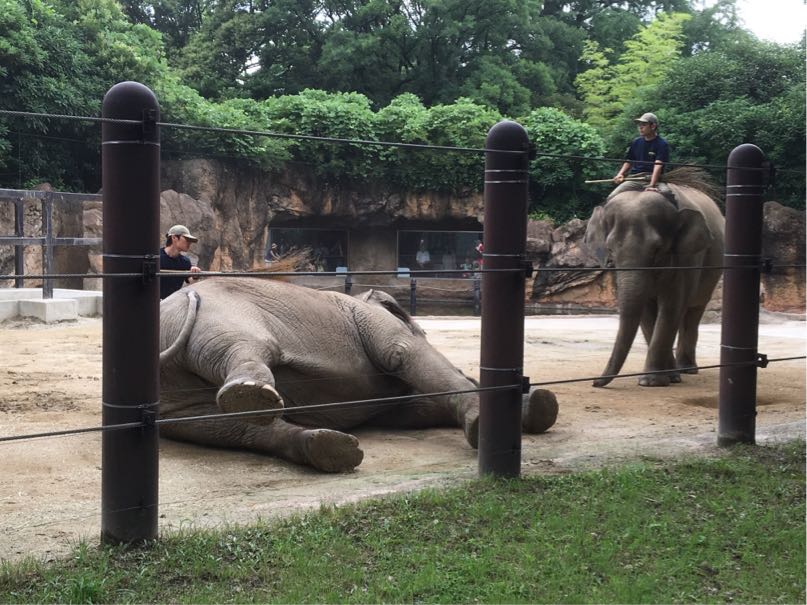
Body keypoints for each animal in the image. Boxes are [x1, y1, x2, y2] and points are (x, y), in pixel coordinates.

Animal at [158, 278, 558, 472]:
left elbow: (414, 409)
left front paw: (539, 409)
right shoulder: (372, 323)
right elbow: (404, 354)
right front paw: (484, 425)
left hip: (174, 396)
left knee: (227, 427)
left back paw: (332, 450)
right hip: (224, 318)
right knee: (246, 353)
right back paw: (253, 396)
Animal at [583, 174, 725, 387]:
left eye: (657, 249)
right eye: (610, 249)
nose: (594, 382)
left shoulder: (686, 258)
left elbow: (671, 307)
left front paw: (651, 382)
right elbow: (647, 312)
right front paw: (667, 378)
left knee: (692, 311)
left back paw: (687, 369)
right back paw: (678, 372)